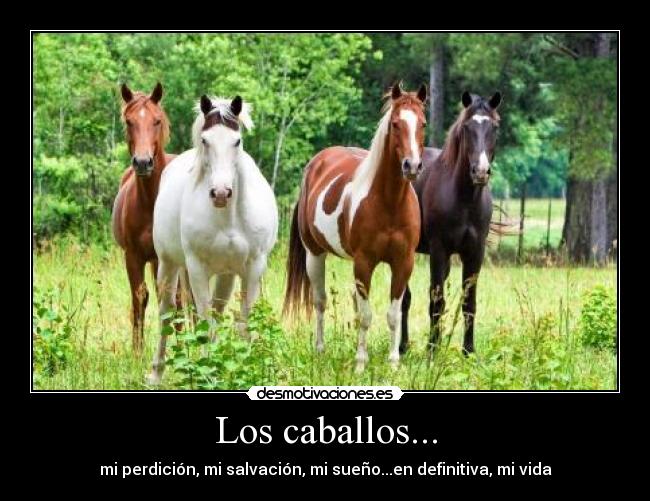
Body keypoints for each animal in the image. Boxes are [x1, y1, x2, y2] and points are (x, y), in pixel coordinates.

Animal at [148, 95, 278, 384]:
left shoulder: (253, 268)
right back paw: (156, 373)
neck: (229, 218)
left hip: (226, 274)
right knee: (166, 313)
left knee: (217, 312)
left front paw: (242, 369)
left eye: (237, 141)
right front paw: (208, 372)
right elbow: (204, 321)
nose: (220, 193)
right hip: (169, 264)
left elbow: (242, 323)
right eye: (205, 140)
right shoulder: (196, 267)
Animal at [283, 82, 427, 372]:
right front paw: (361, 364)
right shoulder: (364, 263)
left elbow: (393, 314)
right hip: (314, 254)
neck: (390, 203)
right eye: (395, 124)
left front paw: (393, 363)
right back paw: (320, 350)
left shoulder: (403, 263)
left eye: (423, 124)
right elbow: (366, 315)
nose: (412, 166)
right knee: (320, 301)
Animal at [400, 91, 502, 356]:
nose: (480, 171)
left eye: (494, 127)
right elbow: (436, 301)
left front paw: (469, 351)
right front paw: (432, 350)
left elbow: (469, 303)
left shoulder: (475, 253)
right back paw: (402, 346)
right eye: (467, 127)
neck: (464, 199)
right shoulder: (439, 250)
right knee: (404, 298)